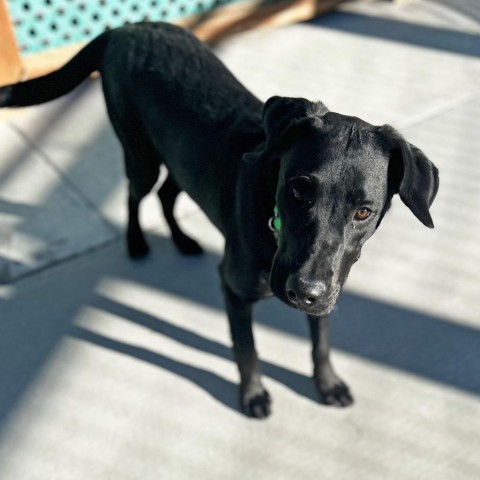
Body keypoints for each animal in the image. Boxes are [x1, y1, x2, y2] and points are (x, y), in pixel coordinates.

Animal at [0, 22, 438, 418]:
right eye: (298, 189)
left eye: (364, 211)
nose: (303, 292)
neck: (270, 224)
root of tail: (125, 27)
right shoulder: (233, 289)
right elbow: (247, 349)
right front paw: (253, 395)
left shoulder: (328, 291)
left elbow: (321, 342)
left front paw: (327, 384)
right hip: (141, 156)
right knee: (134, 196)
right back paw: (137, 243)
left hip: (180, 161)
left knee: (166, 195)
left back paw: (182, 241)